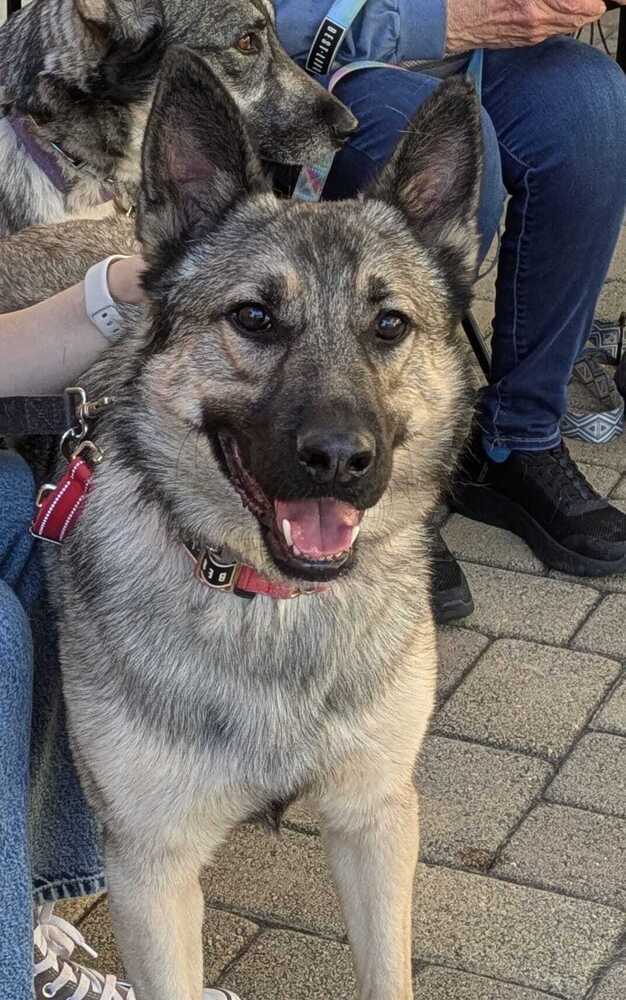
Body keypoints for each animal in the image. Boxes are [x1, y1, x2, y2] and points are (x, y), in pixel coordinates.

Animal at [37, 47, 482, 1000]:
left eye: (390, 325)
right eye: (253, 317)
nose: (341, 460)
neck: (267, 605)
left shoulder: (375, 819)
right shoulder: (152, 869)